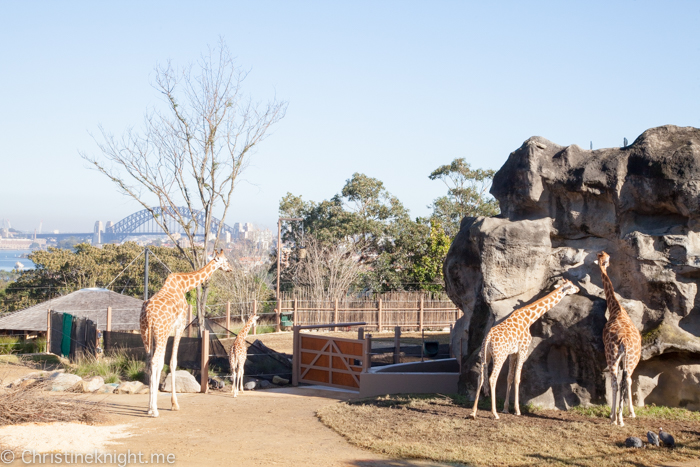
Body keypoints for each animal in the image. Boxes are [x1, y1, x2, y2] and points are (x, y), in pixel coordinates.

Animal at [139, 250, 232, 418]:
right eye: (225, 260)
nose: (230, 269)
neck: (183, 286)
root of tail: (147, 314)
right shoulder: (180, 326)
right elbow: (172, 362)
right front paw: (174, 404)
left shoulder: (164, 331)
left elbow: (162, 362)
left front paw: (151, 406)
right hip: (160, 332)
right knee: (155, 361)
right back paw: (155, 411)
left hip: (147, 332)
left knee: (150, 361)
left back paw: (150, 408)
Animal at [470, 280, 580, 422]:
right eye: (571, 285)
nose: (578, 289)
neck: (529, 318)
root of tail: (488, 337)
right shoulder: (523, 349)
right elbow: (517, 378)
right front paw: (517, 410)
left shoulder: (513, 353)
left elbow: (510, 377)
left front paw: (506, 408)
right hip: (500, 356)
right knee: (492, 378)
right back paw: (494, 413)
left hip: (486, 355)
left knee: (480, 377)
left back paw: (473, 412)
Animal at [592, 252, 644, 428]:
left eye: (605, 258)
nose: (607, 258)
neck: (617, 310)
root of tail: (624, 342)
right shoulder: (625, 359)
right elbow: (627, 381)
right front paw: (630, 413)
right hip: (625, 358)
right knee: (622, 380)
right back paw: (617, 418)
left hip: (614, 356)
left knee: (616, 381)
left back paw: (615, 418)